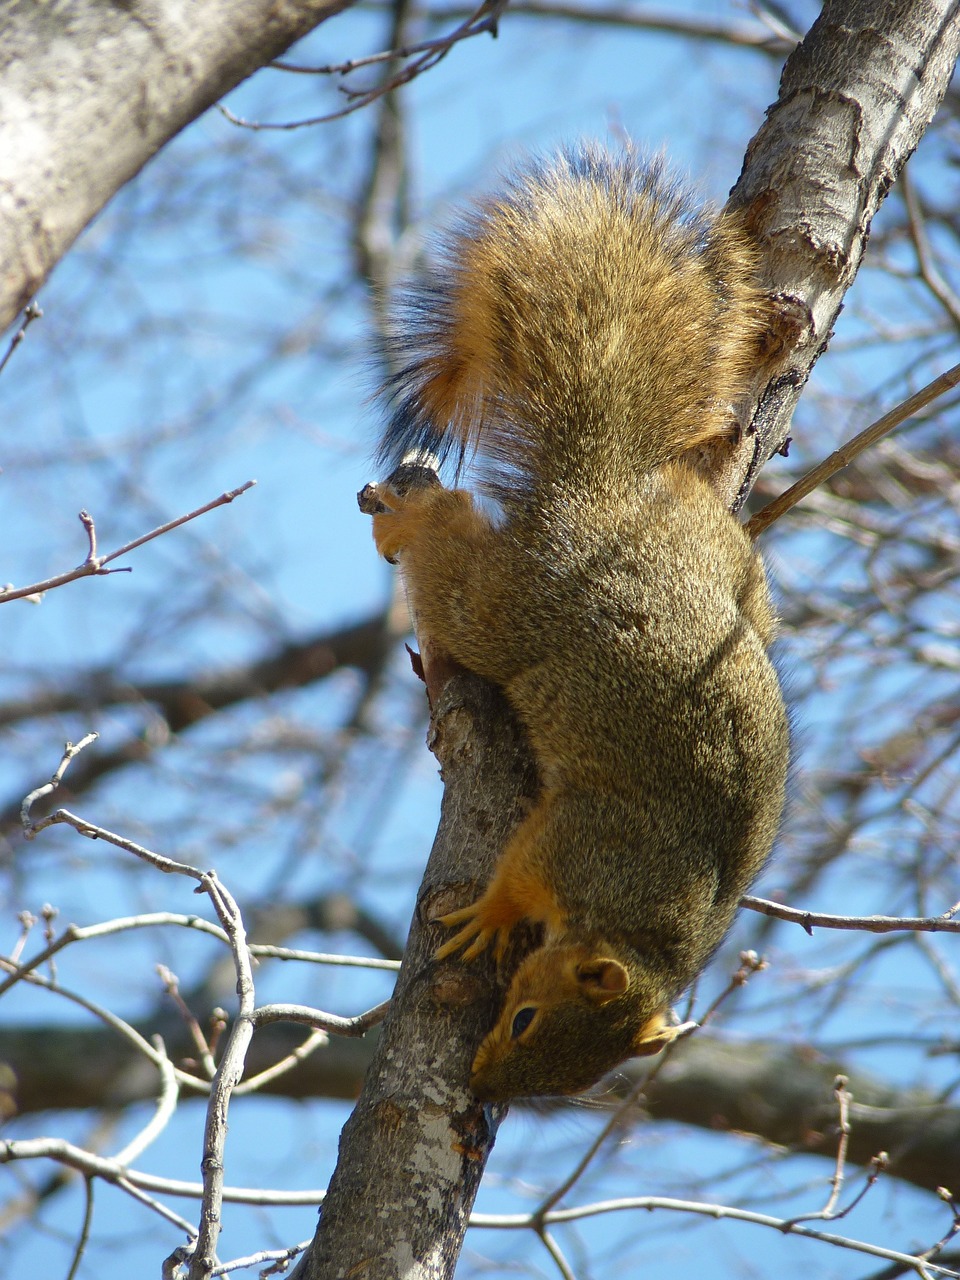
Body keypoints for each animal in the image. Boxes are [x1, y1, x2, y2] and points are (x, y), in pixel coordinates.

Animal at [360, 147, 788, 1100]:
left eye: (566, 1085)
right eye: (521, 1017)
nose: (485, 1086)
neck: (646, 929)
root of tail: (605, 498)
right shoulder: (575, 843)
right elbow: (518, 873)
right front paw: (489, 915)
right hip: (508, 606)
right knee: (453, 569)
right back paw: (411, 521)